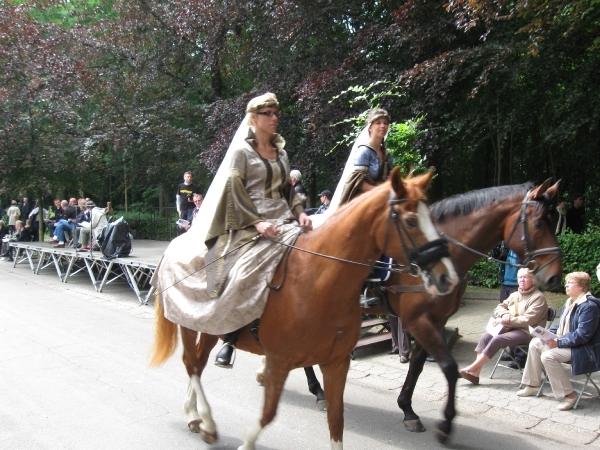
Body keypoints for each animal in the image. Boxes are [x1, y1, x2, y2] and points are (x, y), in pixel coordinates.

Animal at [151, 168, 460, 450]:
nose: (448, 278)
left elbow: (336, 420)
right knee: (191, 363)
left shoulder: (337, 362)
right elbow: (268, 414)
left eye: (433, 219)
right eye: (410, 221)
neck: (318, 280)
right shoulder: (278, 361)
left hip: (210, 328)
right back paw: (204, 421)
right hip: (190, 324)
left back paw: (195, 416)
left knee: (199, 363)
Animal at [300, 178, 564, 442]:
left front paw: (407, 409)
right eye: (539, 223)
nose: (554, 278)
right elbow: (449, 367)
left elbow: (417, 364)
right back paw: (318, 391)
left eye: (555, 223)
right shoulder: (417, 320)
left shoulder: (435, 320)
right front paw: (446, 423)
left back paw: (318, 391)